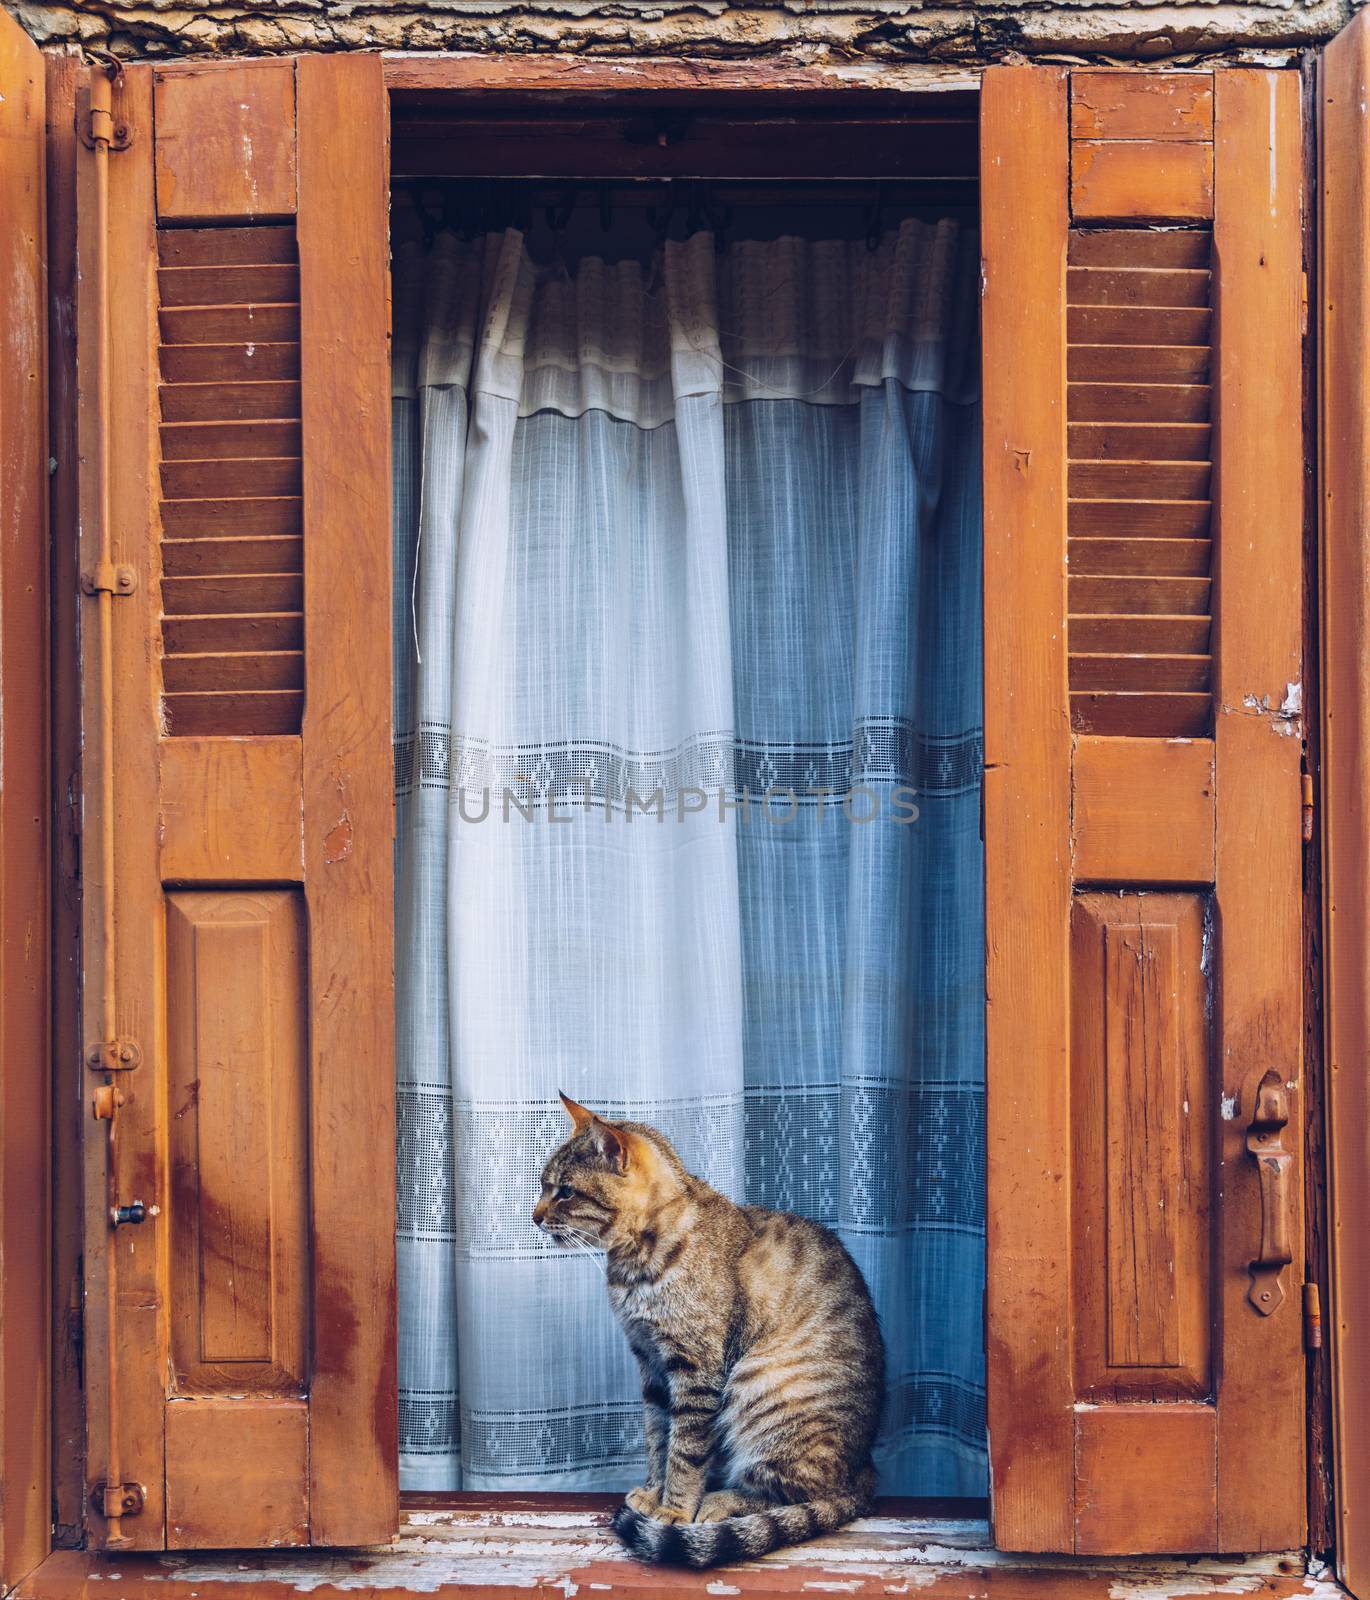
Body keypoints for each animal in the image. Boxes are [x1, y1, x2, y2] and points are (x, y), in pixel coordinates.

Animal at [531, 1094, 883, 1568]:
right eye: (545, 1186)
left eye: (564, 1191)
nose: (534, 1217)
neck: (635, 1264)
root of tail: (865, 1467)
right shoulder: (651, 1366)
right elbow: (658, 1439)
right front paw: (654, 1492)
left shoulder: (695, 1370)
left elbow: (685, 1452)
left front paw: (674, 1510)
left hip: (760, 1386)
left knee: (801, 1492)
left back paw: (722, 1501)